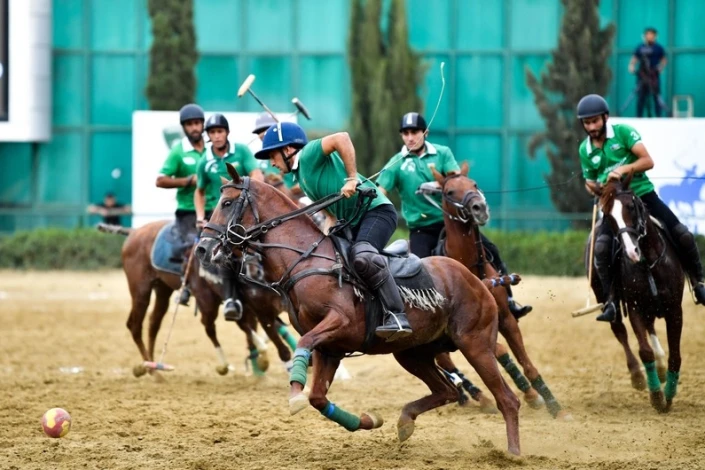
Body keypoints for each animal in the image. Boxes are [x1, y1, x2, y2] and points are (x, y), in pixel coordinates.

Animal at [99, 220, 296, 378]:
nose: (254, 270)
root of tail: (134, 232)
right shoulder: (252, 305)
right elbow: (251, 326)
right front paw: (263, 358)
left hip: (163, 289)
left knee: (154, 323)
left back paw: (153, 367)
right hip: (142, 289)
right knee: (136, 325)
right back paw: (154, 371)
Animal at [195, 165, 520, 456]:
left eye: (226, 203)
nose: (202, 248)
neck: (305, 260)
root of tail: (477, 280)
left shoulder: (339, 321)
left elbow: (302, 346)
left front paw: (294, 393)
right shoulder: (330, 348)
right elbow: (317, 397)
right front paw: (368, 420)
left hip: (475, 343)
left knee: (507, 398)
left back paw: (513, 452)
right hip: (413, 353)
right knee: (447, 391)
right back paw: (405, 422)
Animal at [428, 163, 572, 420]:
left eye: (474, 184)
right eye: (449, 192)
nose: (480, 207)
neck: (470, 265)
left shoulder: (505, 318)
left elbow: (527, 363)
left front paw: (552, 404)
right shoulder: (473, 330)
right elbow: (501, 351)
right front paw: (531, 395)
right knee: (445, 361)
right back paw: (477, 396)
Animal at [588, 176, 680, 412]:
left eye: (632, 206)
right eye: (608, 214)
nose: (631, 252)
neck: (648, 263)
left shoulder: (675, 309)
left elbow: (675, 353)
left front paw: (669, 393)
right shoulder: (636, 307)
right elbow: (643, 350)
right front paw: (656, 396)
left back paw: (661, 367)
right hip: (606, 298)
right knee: (620, 330)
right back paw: (638, 375)